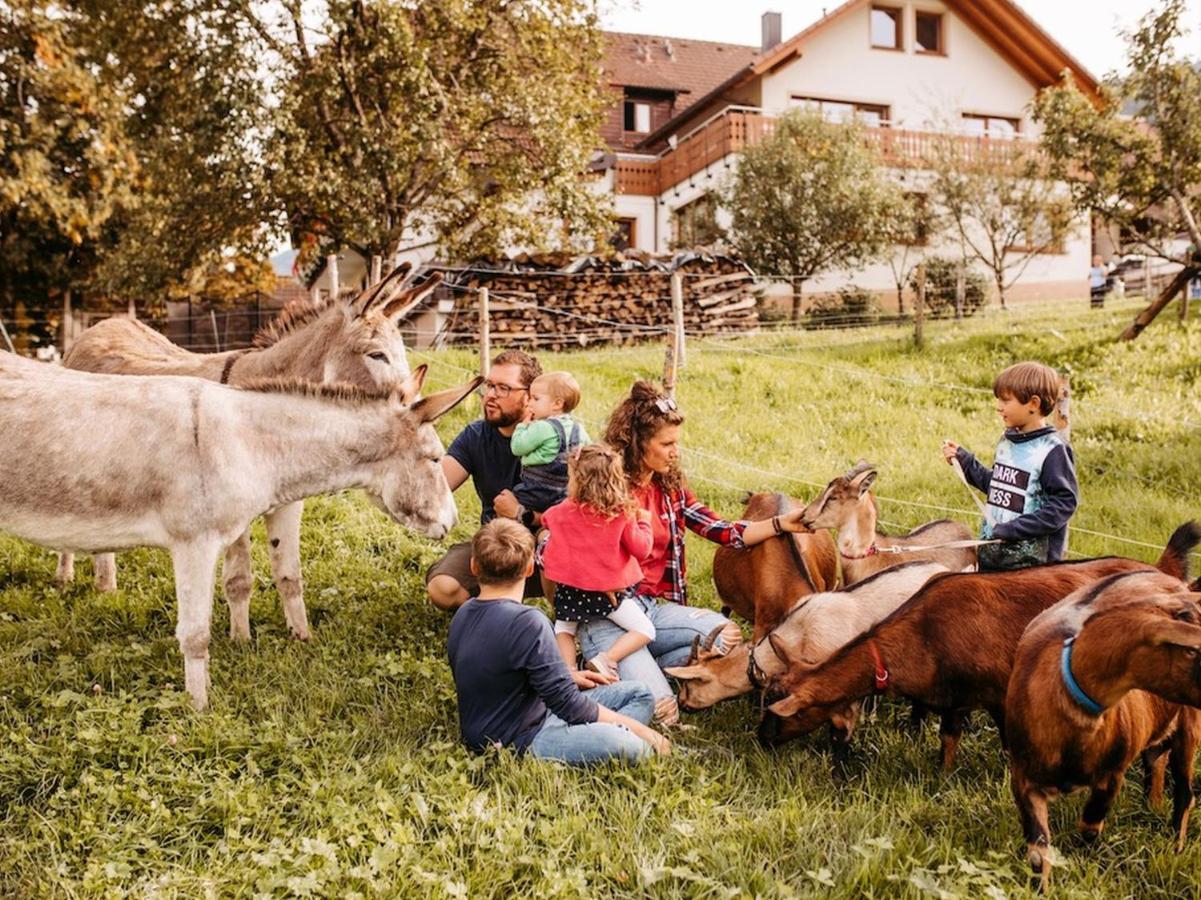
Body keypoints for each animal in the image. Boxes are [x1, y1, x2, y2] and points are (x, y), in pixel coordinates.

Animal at [759, 519, 1201, 764]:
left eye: (779, 708)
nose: (761, 739)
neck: (922, 630)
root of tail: (1164, 572)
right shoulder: (953, 696)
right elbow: (947, 742)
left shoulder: (999, 693)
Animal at [1004, 569, 1201, 893]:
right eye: (1192, 650)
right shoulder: (1023, 778)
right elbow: (1038, 851)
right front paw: (1041, 889)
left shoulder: (1112, 774)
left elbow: (1090, 826)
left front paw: (1081, 859)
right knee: (1156, 761)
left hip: (1189, 726)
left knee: (1185, 793)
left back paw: (1176, 847)